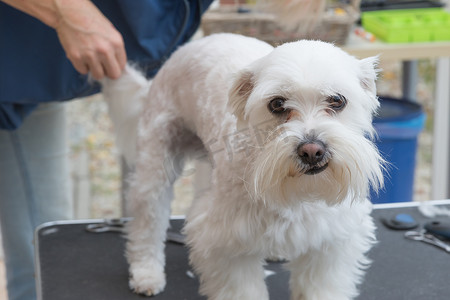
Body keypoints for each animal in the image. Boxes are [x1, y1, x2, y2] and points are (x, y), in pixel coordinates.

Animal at [102, 32, 384, 300]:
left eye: (337, 100)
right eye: (277, 104)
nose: (312, 151)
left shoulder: (332, 241)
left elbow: (320, 286)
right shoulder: (225, 243)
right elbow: (242, 288)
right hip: (154, 168)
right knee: (147, 224)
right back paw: (146, 273)